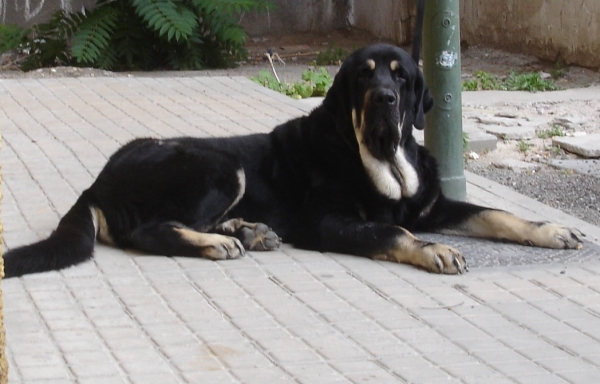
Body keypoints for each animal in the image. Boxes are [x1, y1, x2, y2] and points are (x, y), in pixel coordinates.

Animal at [2, 43, 584, 278]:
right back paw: (220, 241)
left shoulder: (434, 205)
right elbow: (393, 232)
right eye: (364, 76)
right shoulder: (332, 222)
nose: (384, 99)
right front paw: (434, 251)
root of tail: (99, 178)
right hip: (218, 163)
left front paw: (554, 230)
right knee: (148, 230)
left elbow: (499, 214)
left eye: (399, 77)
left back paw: (247, 230)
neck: (380, 159)